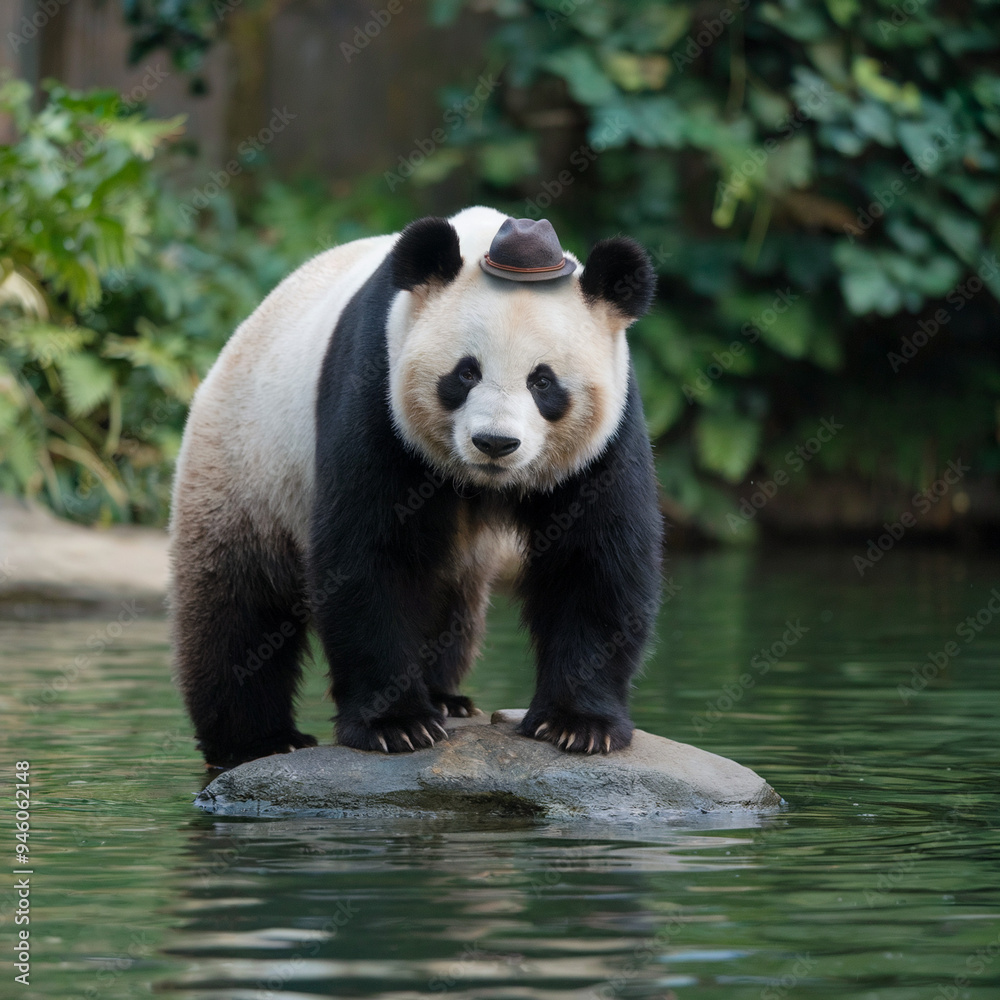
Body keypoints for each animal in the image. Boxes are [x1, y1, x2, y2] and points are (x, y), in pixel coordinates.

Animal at [169, 205, 663, 768]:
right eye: (466, 374)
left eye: (543, 382)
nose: (495, 443)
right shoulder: (377, 387)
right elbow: (370, 554)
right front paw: (397, 725)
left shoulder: (607, 435)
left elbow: (595, 560)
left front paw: (578, 725)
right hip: (247, 462)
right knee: (237, 605)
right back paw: (257, 739)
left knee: (451, 594)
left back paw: (446, 696)